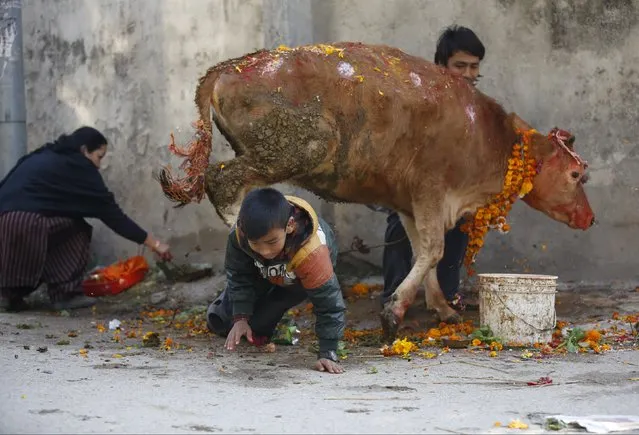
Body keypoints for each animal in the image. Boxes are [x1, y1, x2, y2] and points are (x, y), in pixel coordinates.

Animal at [158, 42, 596, 342]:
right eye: (577, 174)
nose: (590, 218)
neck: (490, 137)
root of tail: (231, 65)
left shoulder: (409, 202)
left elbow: (422, 251)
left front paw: (442, 308)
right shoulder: (430, 189)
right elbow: (434, 250)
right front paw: (395, 312)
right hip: (292, 148)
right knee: (222, 181)